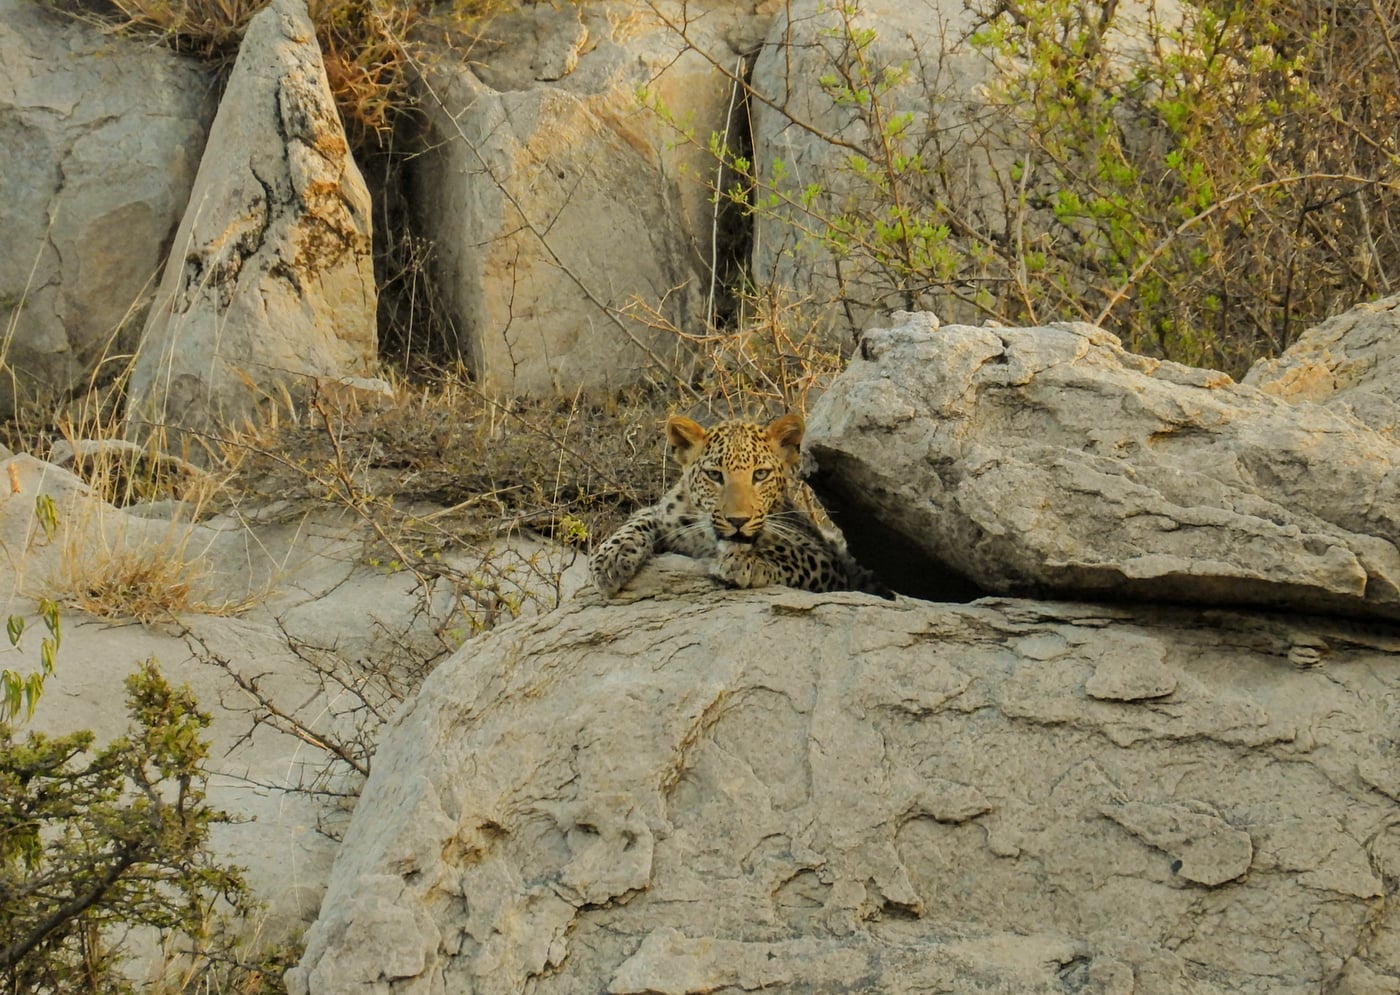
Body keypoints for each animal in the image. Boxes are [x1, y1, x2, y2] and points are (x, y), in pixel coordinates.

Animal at [589, 412, 890, 598]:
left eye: (760, 474)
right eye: (714, 475)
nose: (737, 521)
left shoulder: (828, 560)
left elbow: (793, 554)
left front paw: (746, 562)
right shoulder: (667, 515)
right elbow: (640, 518)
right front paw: (610, 558)